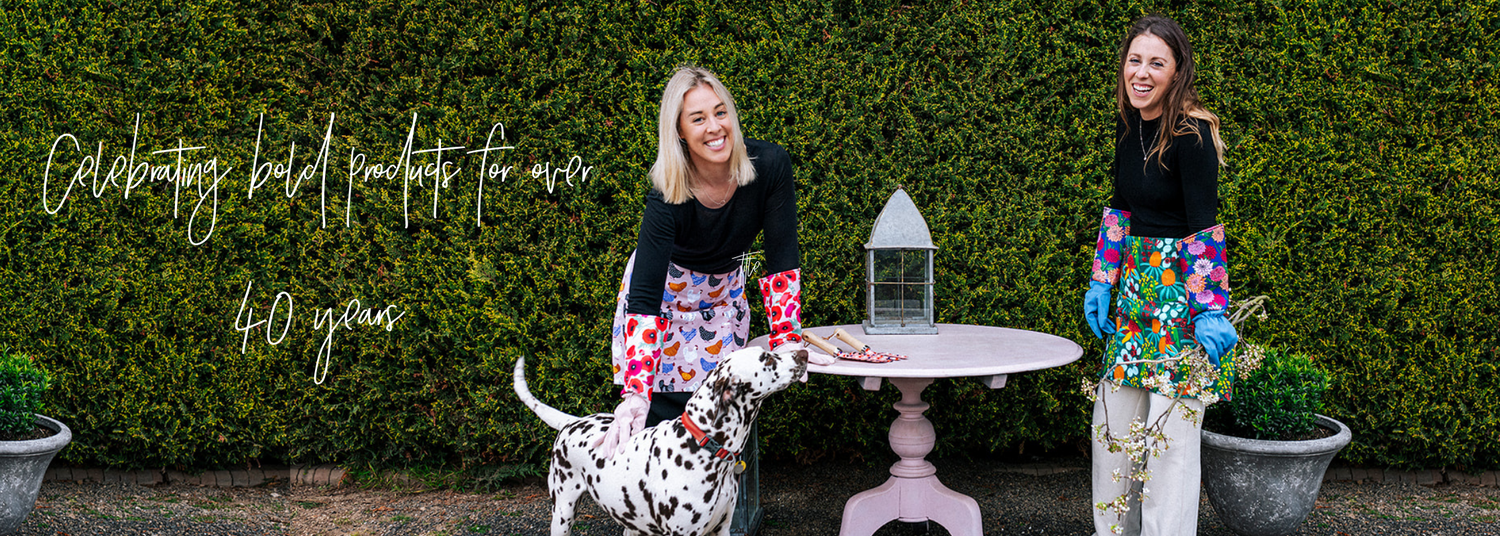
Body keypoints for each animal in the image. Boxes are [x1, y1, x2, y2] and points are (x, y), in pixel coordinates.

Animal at [514, 346, 808, 536]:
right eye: (766, 358)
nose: (804, 353)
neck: (701, 445)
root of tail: (571, 421)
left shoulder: (722, 529)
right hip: (563, 512)